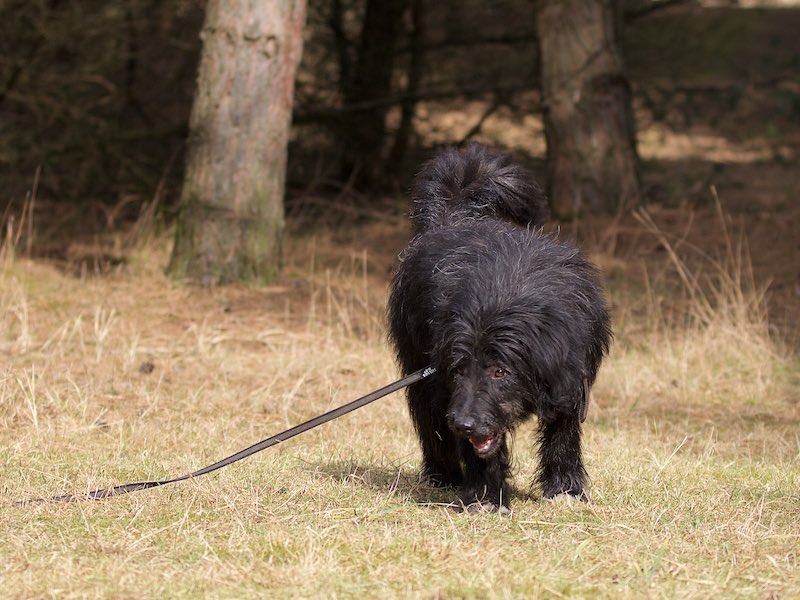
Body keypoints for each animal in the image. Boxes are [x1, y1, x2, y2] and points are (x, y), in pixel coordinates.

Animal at [388, 143, 612, 511]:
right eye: (458, 370)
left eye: (500, 372)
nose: (463, 424)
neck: (503, 298)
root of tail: (455, 218)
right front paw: (485, 495)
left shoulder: (572, 377)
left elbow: (563, 433)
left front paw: (565, 489)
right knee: (430, 419)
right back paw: (443, 474)